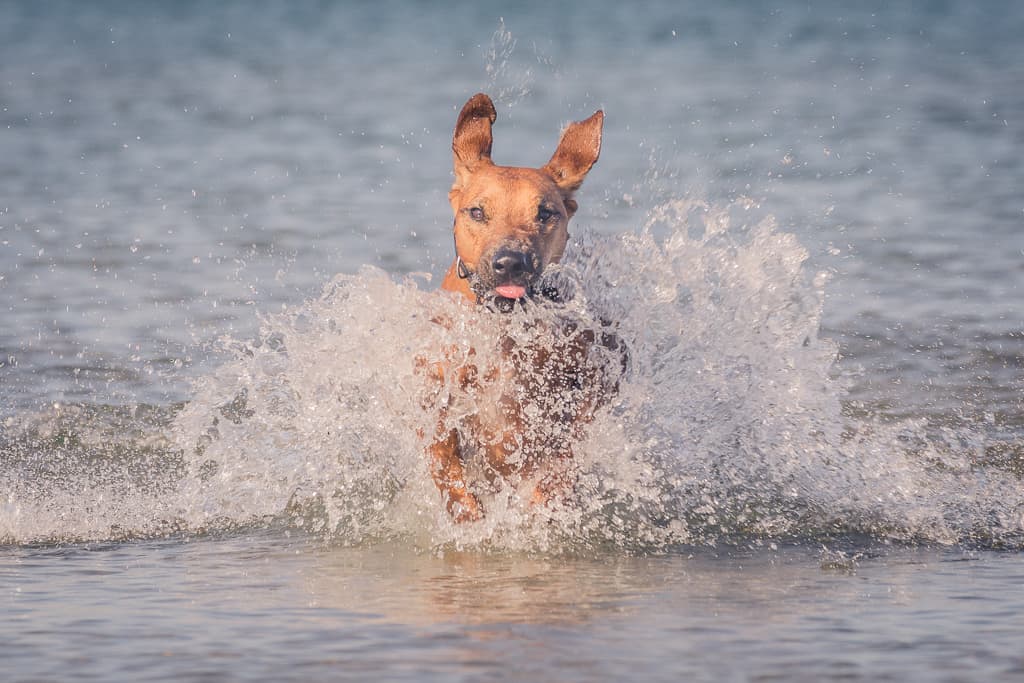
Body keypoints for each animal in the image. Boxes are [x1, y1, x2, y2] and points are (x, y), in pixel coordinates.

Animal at [419, 93, 618, 524]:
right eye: (477, 212)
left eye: (545, 213)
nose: (511, 262)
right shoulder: (436, 386)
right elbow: (442, 454)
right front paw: (465, 510)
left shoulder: (601, 369)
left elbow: (567, 451)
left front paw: (545, 498)